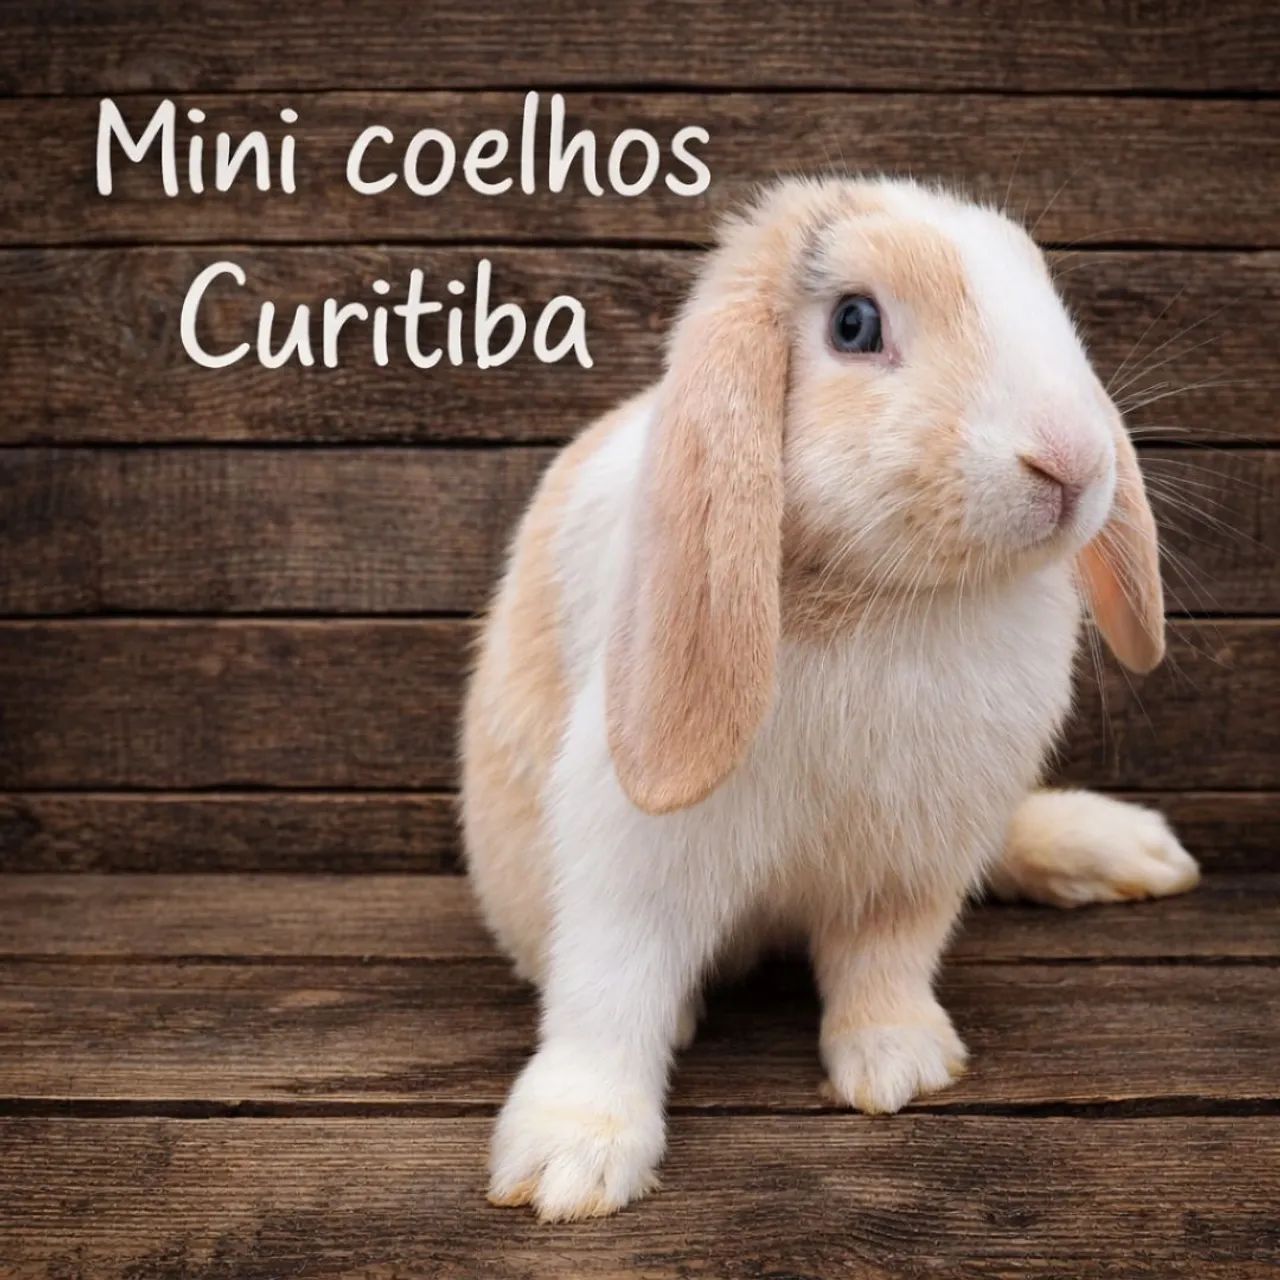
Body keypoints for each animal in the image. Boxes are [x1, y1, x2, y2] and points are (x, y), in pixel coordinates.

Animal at [461, 175, 1200, 1222]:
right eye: (855, 324)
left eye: (1047, 302)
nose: (1071, 460)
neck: (894, 601)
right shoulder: (631, 855)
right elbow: (614, 982)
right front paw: (571, 1159)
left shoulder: (913, 858)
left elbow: (885, 959)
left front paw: (898, 1066)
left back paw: (1127, 850)